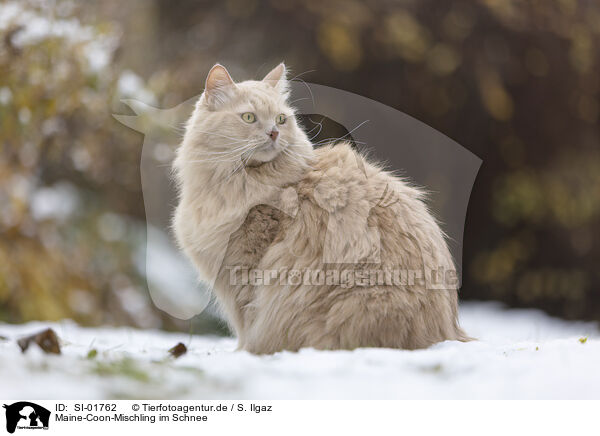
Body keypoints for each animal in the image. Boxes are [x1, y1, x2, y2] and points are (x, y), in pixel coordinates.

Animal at [171, 62, 472, 354]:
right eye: (249, 118)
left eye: (281, 119)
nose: (274, 132)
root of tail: (447, 334)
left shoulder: (244, 270)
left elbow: (247, 323)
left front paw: (245, 353)